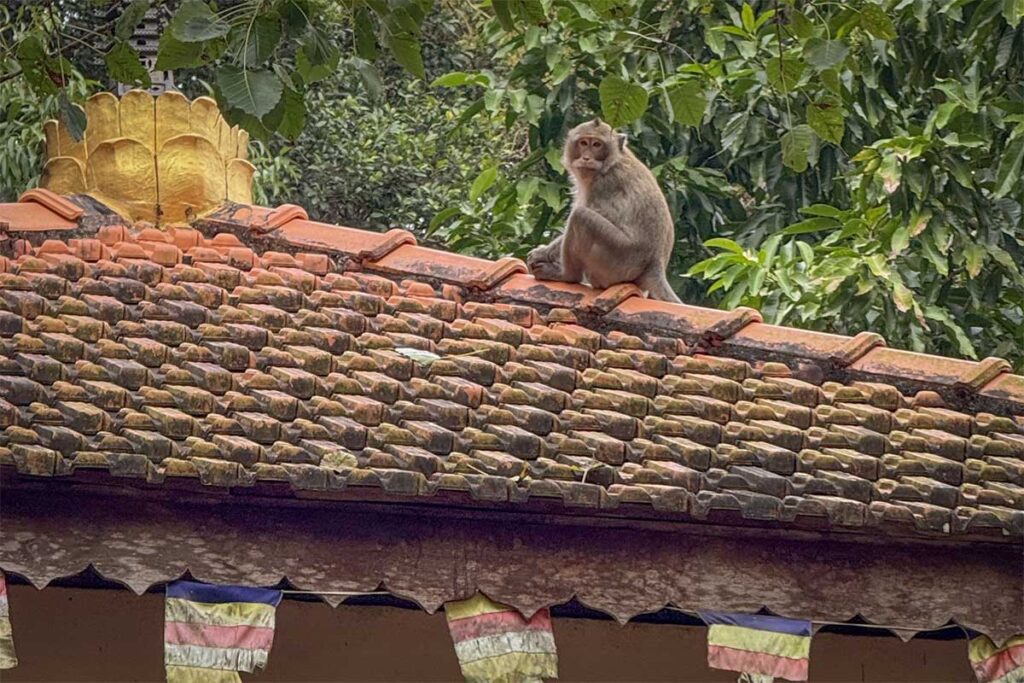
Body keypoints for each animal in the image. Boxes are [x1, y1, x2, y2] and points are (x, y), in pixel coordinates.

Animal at [525, 118, 682, 303]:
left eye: (597, 145)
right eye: (584, 143)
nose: (586, 158)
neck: (612, 161)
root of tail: (655, 264)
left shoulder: (603, 185)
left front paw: (544, 253)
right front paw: (541, 251)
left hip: (618, 261)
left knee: (580, 217)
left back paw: (566, 275)